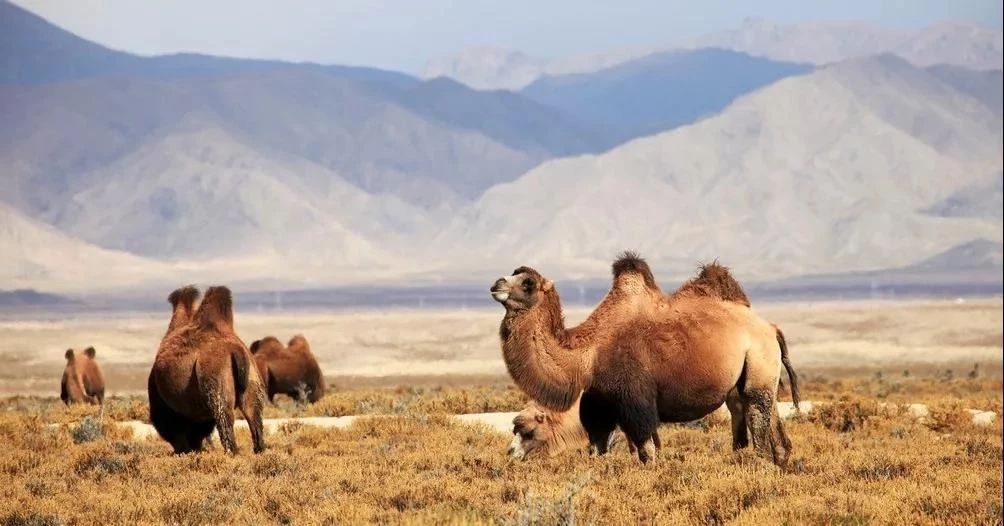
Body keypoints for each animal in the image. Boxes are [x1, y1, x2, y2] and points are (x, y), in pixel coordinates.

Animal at [146, 285, 267, 453]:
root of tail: (237, 350)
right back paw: (259, 451)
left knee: (224, 418)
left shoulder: (162, 400)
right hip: (252, 380)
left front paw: (184, 451)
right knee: (254, 416)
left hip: (216, 379)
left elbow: (175, 429)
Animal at [489, 254, 795, 463]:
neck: (588, 356)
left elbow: (647, 451)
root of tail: (771, 328)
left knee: (757, 420)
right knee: (766, 426)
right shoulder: (600, 406)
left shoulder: (636, 403)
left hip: (758, 363)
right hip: (752, 378)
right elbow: (599, 449)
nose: (496, 283)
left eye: (527, 282)